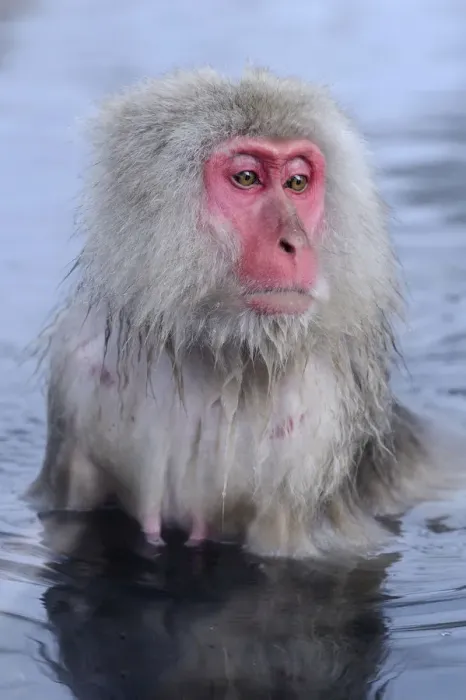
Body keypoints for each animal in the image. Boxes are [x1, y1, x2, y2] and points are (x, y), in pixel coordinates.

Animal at [26, 67, 465, 560]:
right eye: (247, 177)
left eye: (297, 183)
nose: (294, 243)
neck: (212, 349)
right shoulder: (75, 368)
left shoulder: (317, 417)